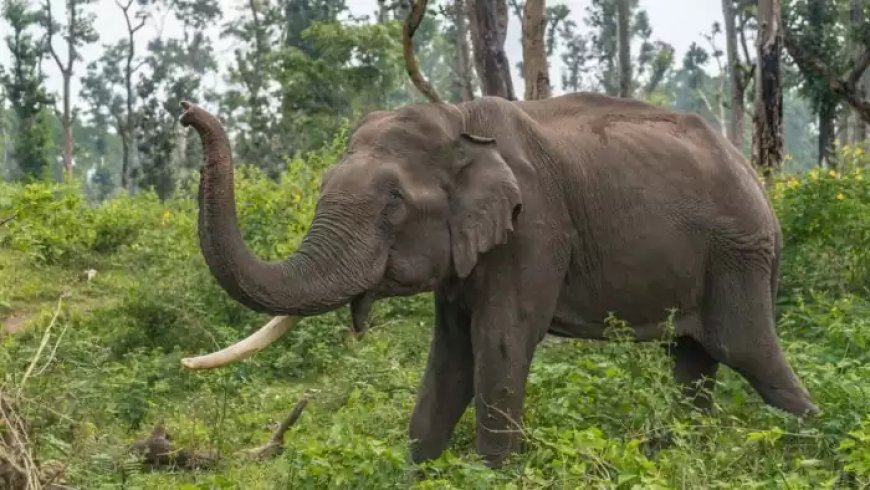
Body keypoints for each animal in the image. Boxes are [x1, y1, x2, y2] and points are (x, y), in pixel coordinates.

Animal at [179, 92, 824, 468]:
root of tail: (757, 177)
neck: (460, 124)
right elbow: (449, 354)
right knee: (692, 362)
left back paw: (815, 446)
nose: (187, 112)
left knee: (748, 352)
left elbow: (501, 341)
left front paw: (491, 472)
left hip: (740, 255)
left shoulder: (534, 227)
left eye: (393, 203)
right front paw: (419, 467)